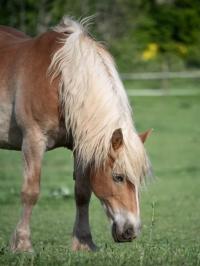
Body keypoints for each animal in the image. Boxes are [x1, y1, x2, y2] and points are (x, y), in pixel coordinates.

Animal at [0, 17, 151, 251]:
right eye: (118, 177)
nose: (131, 231)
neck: (58, 81)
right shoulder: (33, 141)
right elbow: (30, 192)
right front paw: (23, 245)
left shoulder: (82, 146)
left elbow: (82, 193)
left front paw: (84, 242)